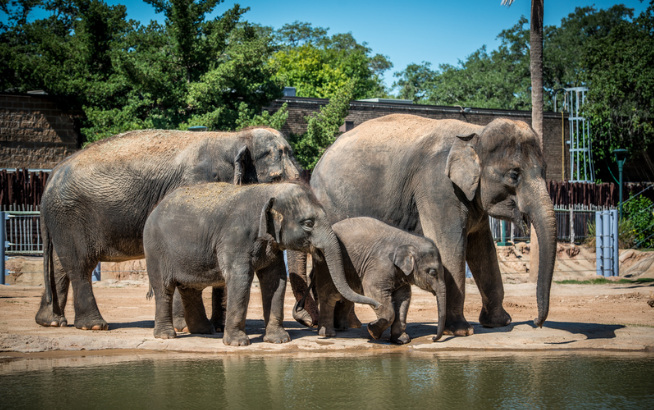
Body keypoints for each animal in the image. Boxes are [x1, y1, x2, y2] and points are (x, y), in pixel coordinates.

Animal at [36, 127, 300, 331]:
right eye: (276, 179)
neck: (235, 137)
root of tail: (52, 173)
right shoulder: (196, 185)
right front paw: (185, 327)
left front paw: (216, 327)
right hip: (70, 215)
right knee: (79, 265)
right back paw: (93, 326)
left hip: (62, 218)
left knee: (60, 265)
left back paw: (51, 322)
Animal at [143, 182, 380, 346]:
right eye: (308, 223)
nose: (376, 305)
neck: (268, 191)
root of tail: (154, 210)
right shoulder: (235, 238)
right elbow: (240, 280)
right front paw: (238, 343)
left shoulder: (271, 245)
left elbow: (276, 281)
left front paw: (279, 340)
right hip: (155, 250)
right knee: (164, 288)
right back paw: (166, 336)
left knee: (190, 288)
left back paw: (204, 331)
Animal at [311, 217, 446, 344]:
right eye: (432, 272)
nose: (433, 338)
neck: (408, 238)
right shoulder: (380, 265)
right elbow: (372, 290)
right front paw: (373, 331)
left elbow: (404, 298)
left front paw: (401, 340)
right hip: (324, 265)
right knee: (329, 296)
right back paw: (327, 334)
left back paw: (342, 328)